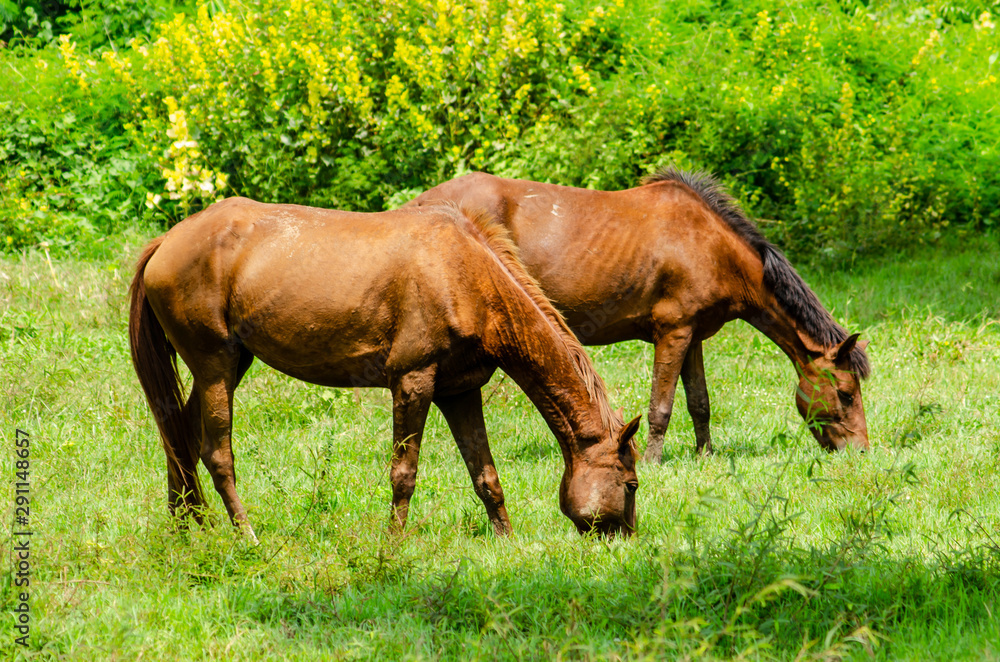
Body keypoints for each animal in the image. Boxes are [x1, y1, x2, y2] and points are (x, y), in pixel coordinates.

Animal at [128, 199, 641, 541]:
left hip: (229, 363)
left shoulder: (459, 391)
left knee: (178, 434)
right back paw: (245, 536)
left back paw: (186, 527)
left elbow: (485, 474)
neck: (464, 273)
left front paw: (506, 543)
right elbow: (404, 473)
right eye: (631, 483)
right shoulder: (412, 382)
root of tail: (166, 241)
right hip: (214, 364)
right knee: (217, 454)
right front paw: (392, 547)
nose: (625, 539)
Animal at [407, 168, 871, 461]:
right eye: (846, 393)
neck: (711, 246)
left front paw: (705, 455)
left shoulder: (693, 337)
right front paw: (651, 461)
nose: (861, 452)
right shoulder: (673, 332)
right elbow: (661, 407)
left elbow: (699, 403)